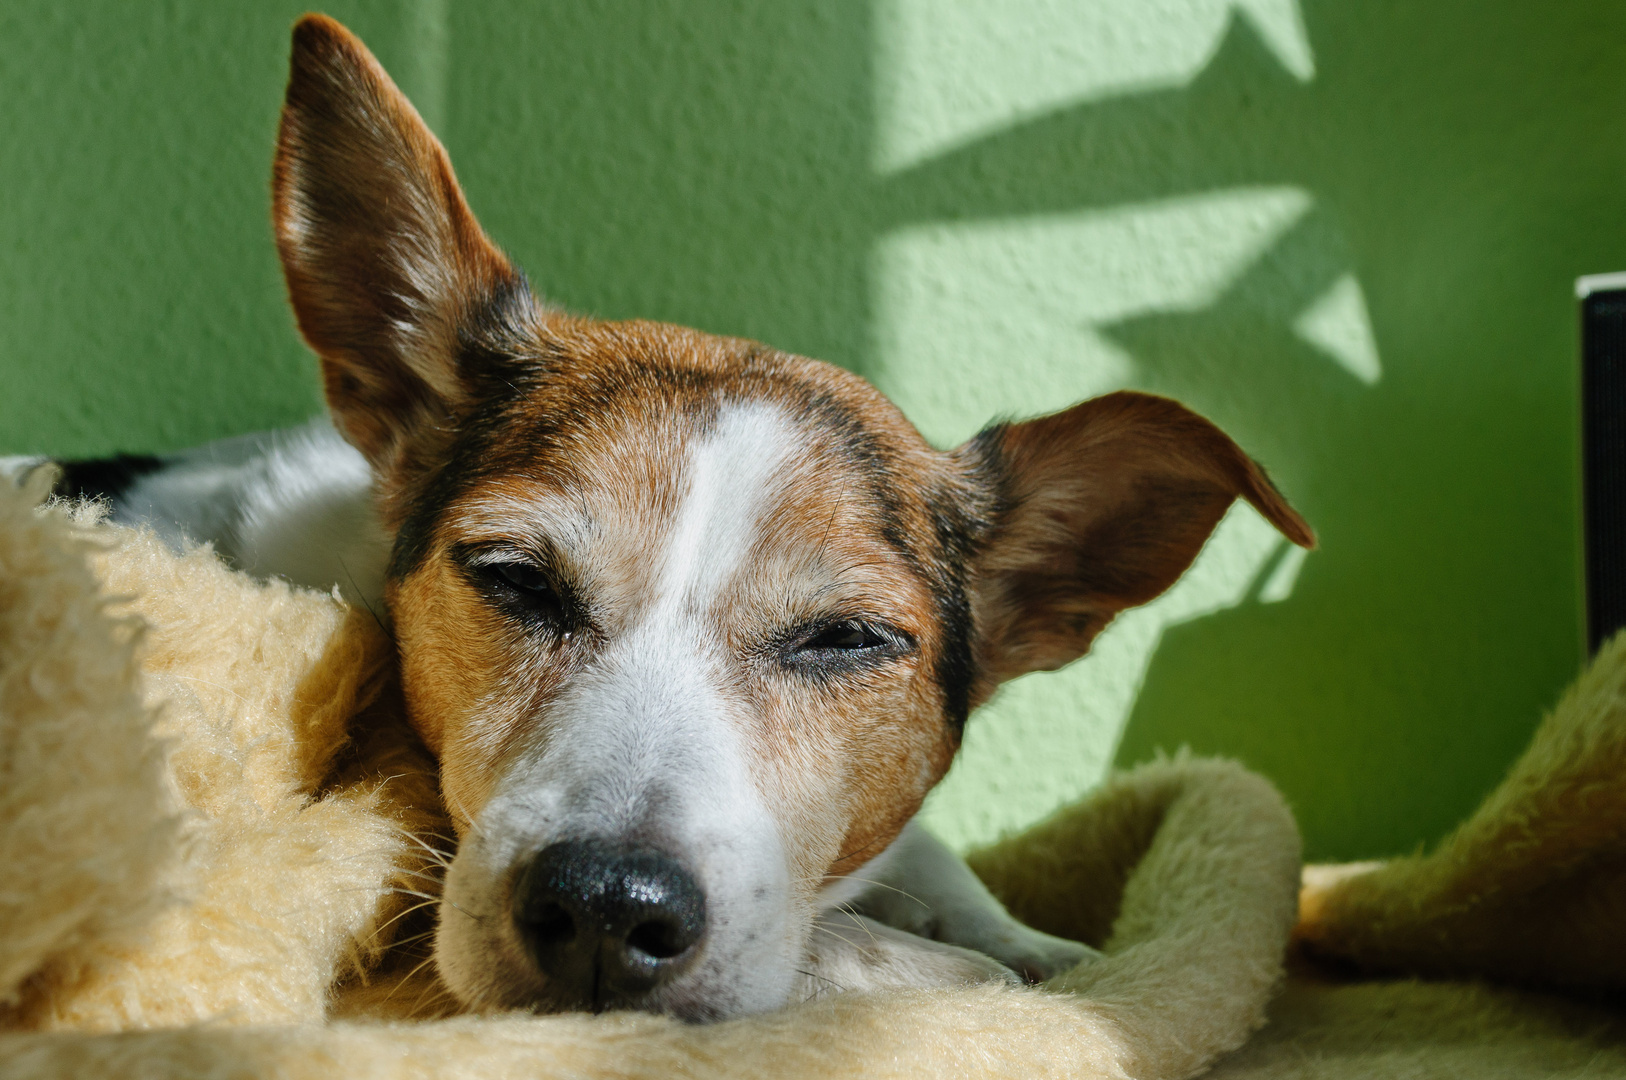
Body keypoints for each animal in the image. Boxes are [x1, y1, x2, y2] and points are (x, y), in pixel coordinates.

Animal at [9, 16, 1307, 1027]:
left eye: (844, 640)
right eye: (512, 578)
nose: (602, 910)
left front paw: (1018, 933)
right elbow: (843, 945)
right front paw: (964, 965)